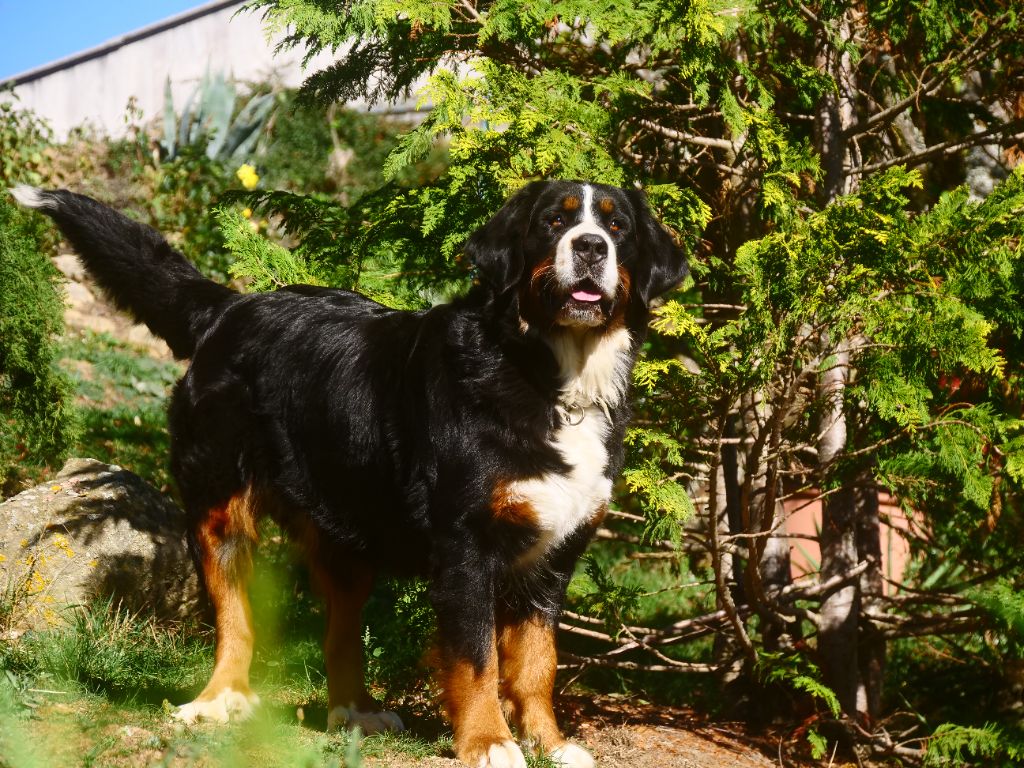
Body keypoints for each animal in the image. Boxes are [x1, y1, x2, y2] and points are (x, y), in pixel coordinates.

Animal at [9, 183, 688, 768]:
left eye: (617, 228)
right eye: (553, 222)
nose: (590, 247)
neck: (550, 376)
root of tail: (232, 306)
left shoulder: (552, 557)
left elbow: (536, 663)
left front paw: (550, 743)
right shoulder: (467, 549)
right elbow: (477, 660)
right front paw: (488, 743)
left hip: (346, 530)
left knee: (341, 631)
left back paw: (355, 712)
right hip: (220, 509)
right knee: (233, 616)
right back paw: (220, 700)